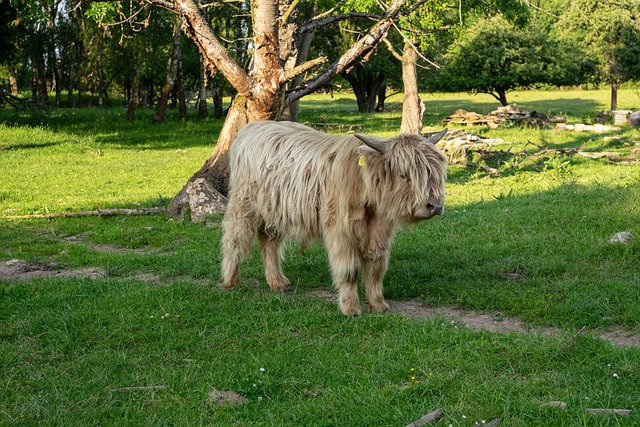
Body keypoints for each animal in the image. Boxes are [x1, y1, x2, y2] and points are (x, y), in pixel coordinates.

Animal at [222, 122, 448, 316]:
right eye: (403, 175)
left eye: (434, 173)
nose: (435, 206)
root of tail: (250, 128)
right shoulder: (341, 232)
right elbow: (349, 270)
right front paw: (351, 309)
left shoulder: (380, 232)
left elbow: (376, 269)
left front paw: (378, 305)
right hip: (243, 205)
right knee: (234, 239)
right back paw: (231, 280)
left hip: (275, 213)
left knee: (269, 244)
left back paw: (277, 283)